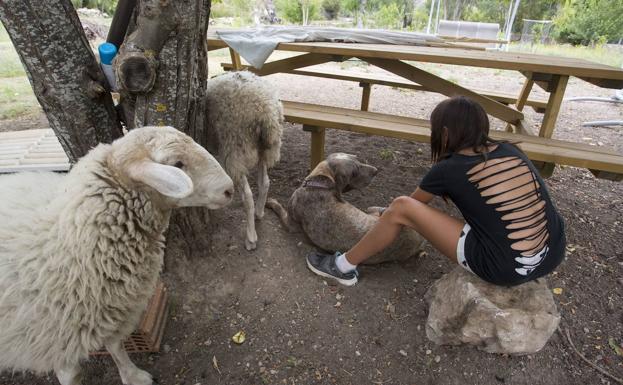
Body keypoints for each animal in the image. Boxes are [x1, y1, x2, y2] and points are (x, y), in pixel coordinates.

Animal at [0, 124, 234, 382]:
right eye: (177, 164)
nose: (229, 189)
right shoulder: (57, 346)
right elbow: (71, 376)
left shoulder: (114, 314)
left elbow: (116, 347)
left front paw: (133, 376)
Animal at [205, 71, 282, 250]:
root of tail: (266, 111)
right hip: (265, 149)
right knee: (265, 182)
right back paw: (259, 212)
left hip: (234, 148)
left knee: (248, 196)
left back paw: (251, 237)